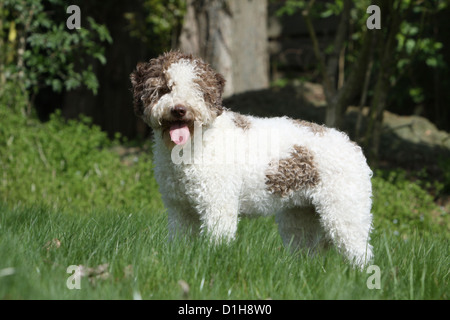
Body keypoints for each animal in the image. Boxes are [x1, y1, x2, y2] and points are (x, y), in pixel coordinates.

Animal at [129, 50, 372, 268]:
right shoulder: (179, 208)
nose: (179, 109)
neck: (193, 145)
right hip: (300, 216)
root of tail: (352, 144)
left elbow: (216, 243)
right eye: (163, 89)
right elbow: (180, 242)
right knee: (305, 251)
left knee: (361, 252)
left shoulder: (217, 204)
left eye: (197, 89)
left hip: (344, 211)